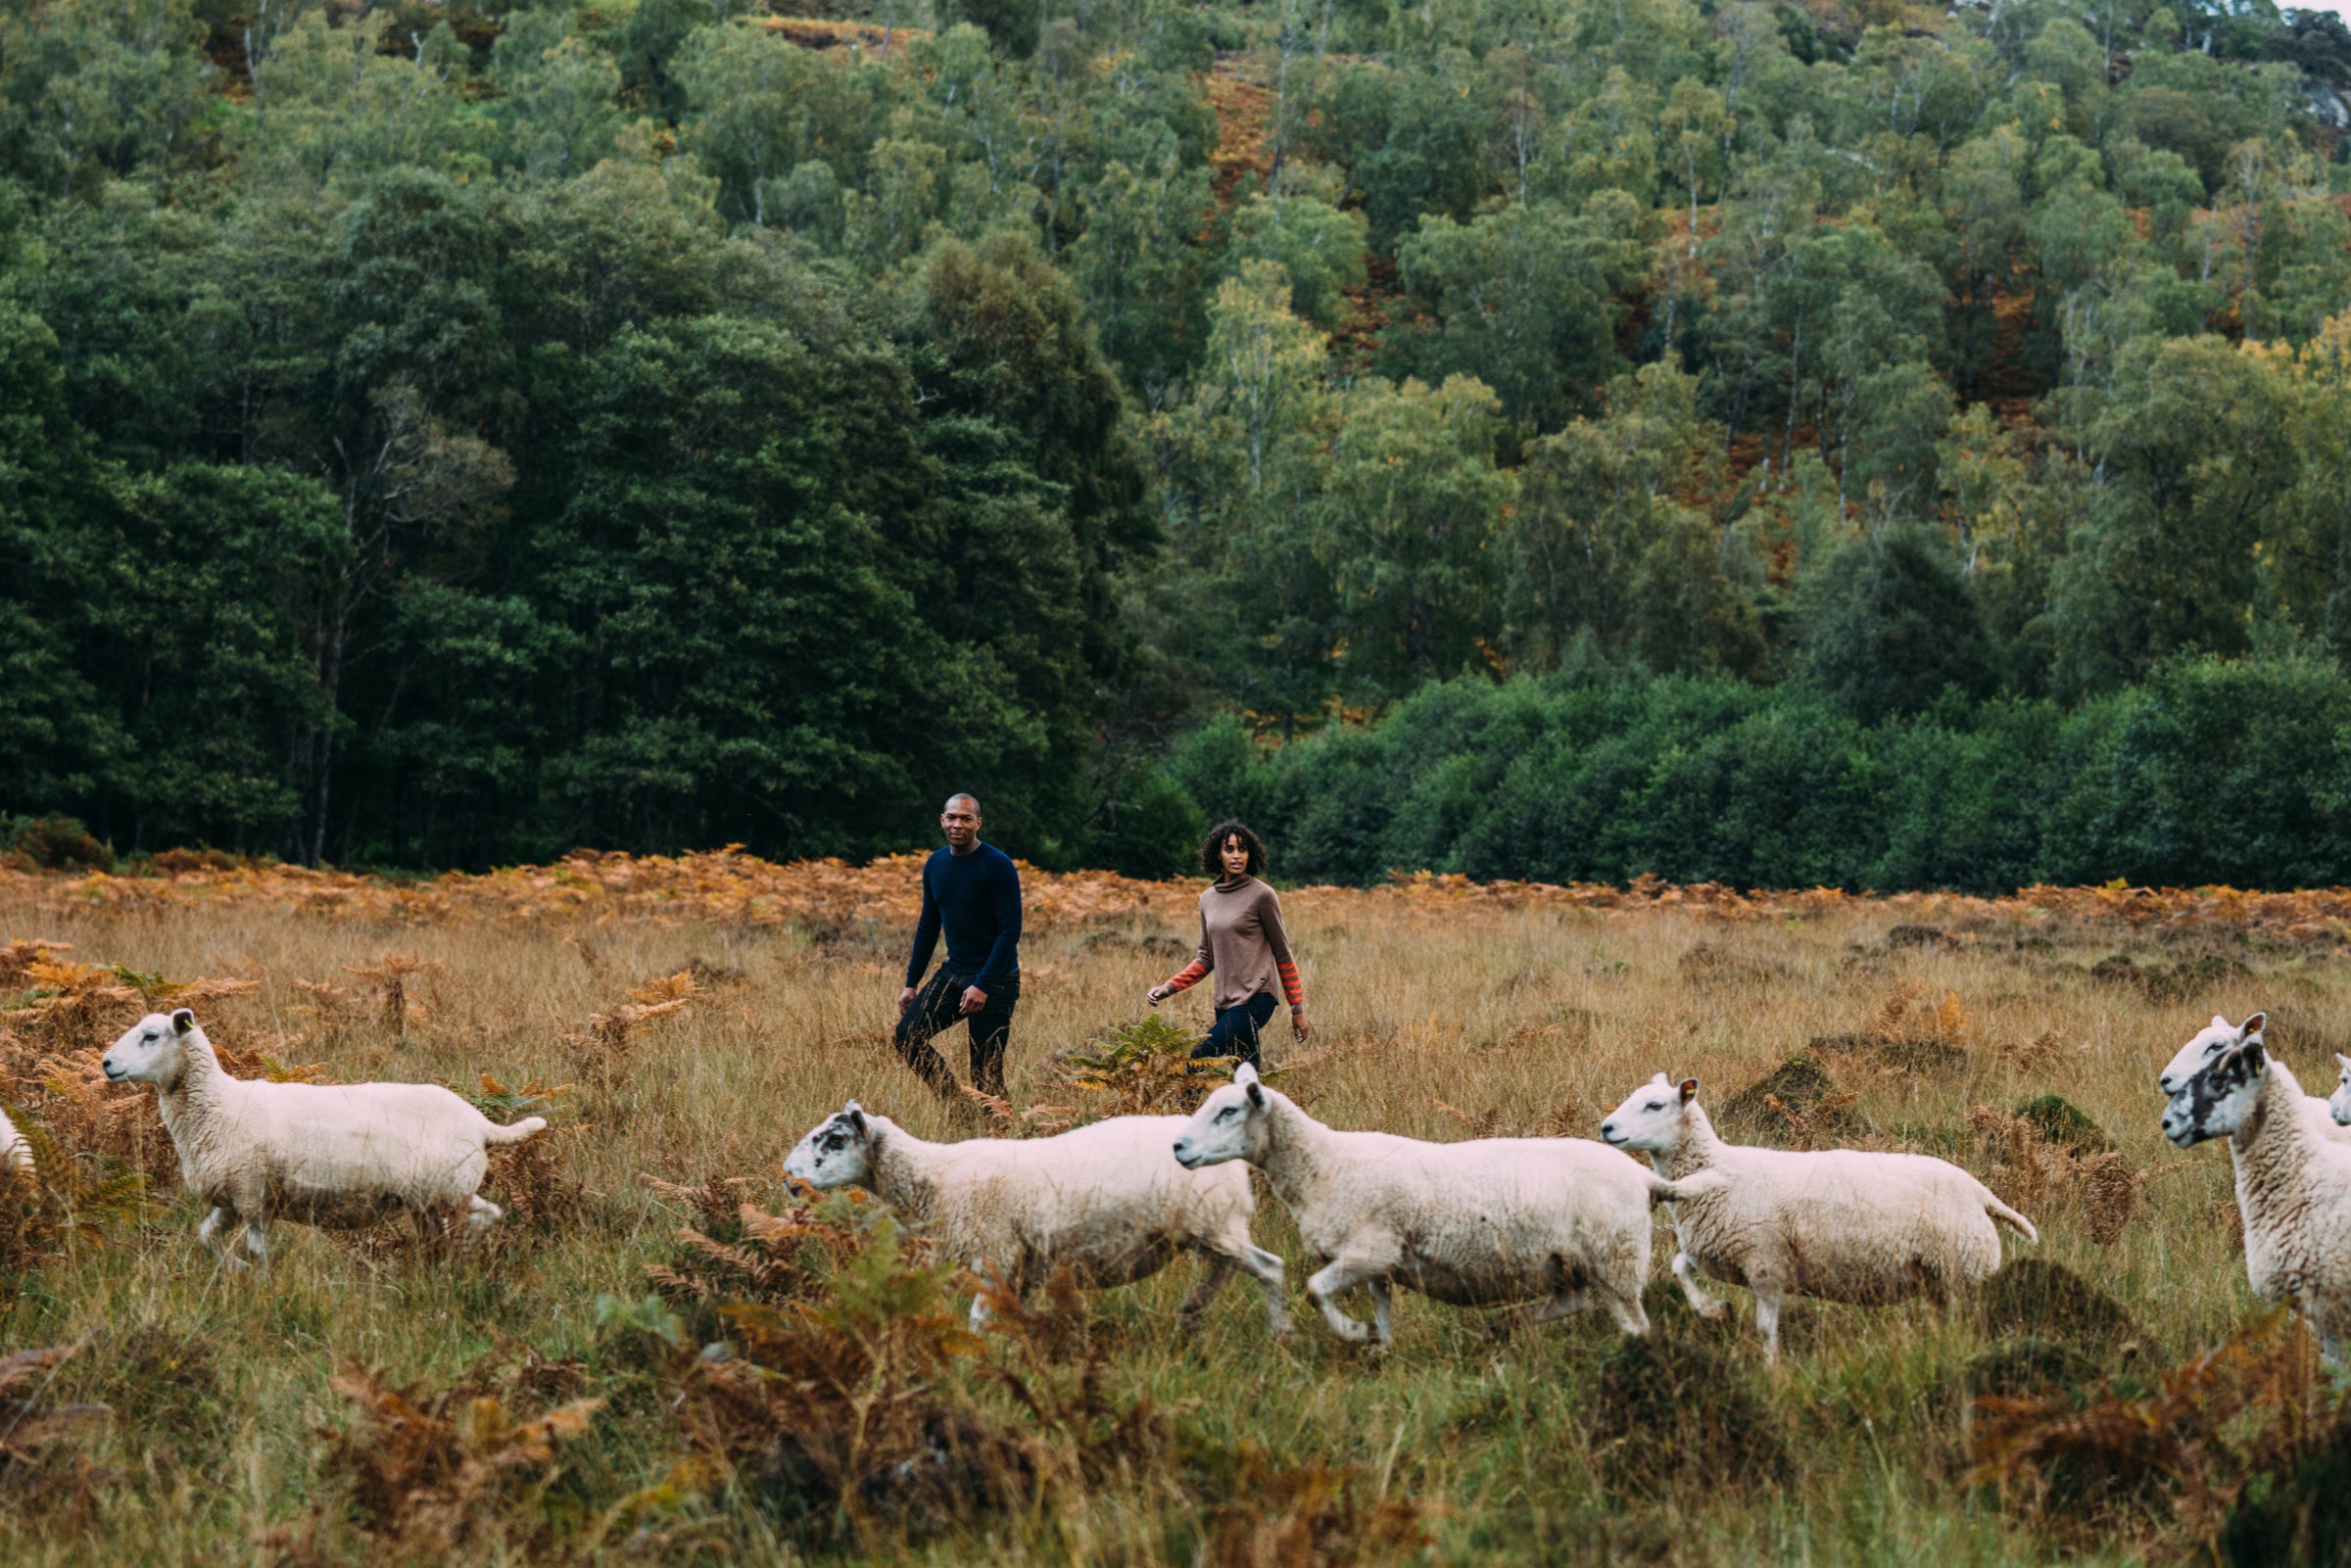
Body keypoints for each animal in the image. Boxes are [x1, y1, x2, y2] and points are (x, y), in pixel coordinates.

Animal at [101, 1011, 545, 1269]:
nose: (106, 1063)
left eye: (151, 1036)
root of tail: (480, 1122)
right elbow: (206, 1237)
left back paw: (462, 1251)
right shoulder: (231, 1200)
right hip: (430, 1198)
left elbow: (259, 1251)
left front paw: (263, 1285)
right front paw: (236, 1270)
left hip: (446, 1188)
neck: (219, 1105)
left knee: (486, 1214)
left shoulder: (253, 1195)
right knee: (461, 1224)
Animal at [780, 1105, 1288, 1335]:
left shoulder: (996, 1255)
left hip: (1213, 1224)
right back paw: (1192, 1314)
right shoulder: (1023, 1267)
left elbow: (978, 1318)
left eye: (835, 1140)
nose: (788, 1177)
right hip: (1210, 1229)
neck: (934, 1177)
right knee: (1225, 1270)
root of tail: (1235, 1163)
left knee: (1270, 1268)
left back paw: (1278, 1333)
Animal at [1161, 1067, 1693, 1354]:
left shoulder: (1369, 1252)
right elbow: (1381, 1308)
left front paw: (1353, 1332)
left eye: (1229, 1111)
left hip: (1615, 1259)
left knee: (1635, 1324)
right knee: (1574, 1301)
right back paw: (1504, 1325)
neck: (1325, 1164)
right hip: (1569, 1263)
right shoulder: (1379, 1262)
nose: (1178, 1148)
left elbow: (1314, 1290)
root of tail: (1645, 1179)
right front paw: (1379, 1345)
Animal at [1599, 1071, 2040, 1363]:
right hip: (1944, 1280)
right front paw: (1712, 1308)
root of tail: (1980, 1191)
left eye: (1655, 1105)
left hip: (1964, 1274)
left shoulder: (1766, 1263)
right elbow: (1679, 1267)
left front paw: (1772, 1371)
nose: (1606, 1128)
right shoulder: (1719, 1249)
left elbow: (1765, 1329)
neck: (1719, 1169)